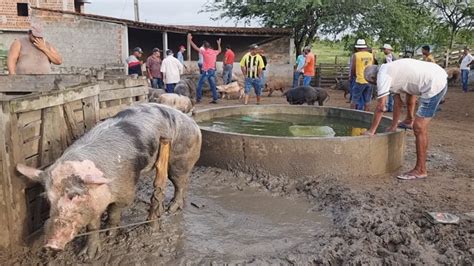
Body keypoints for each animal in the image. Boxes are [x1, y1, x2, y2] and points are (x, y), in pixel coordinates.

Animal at [15, 103, 201, 258]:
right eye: (48, 199)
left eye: (74, 195)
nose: (51, 245)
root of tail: (193, 123)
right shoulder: (94, 203)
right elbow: (92, 226)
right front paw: (86, 256)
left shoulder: (125, 188)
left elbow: (114, 211)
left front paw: (109, 235)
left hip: (180, 159)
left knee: (180, 183)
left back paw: (172, 209)